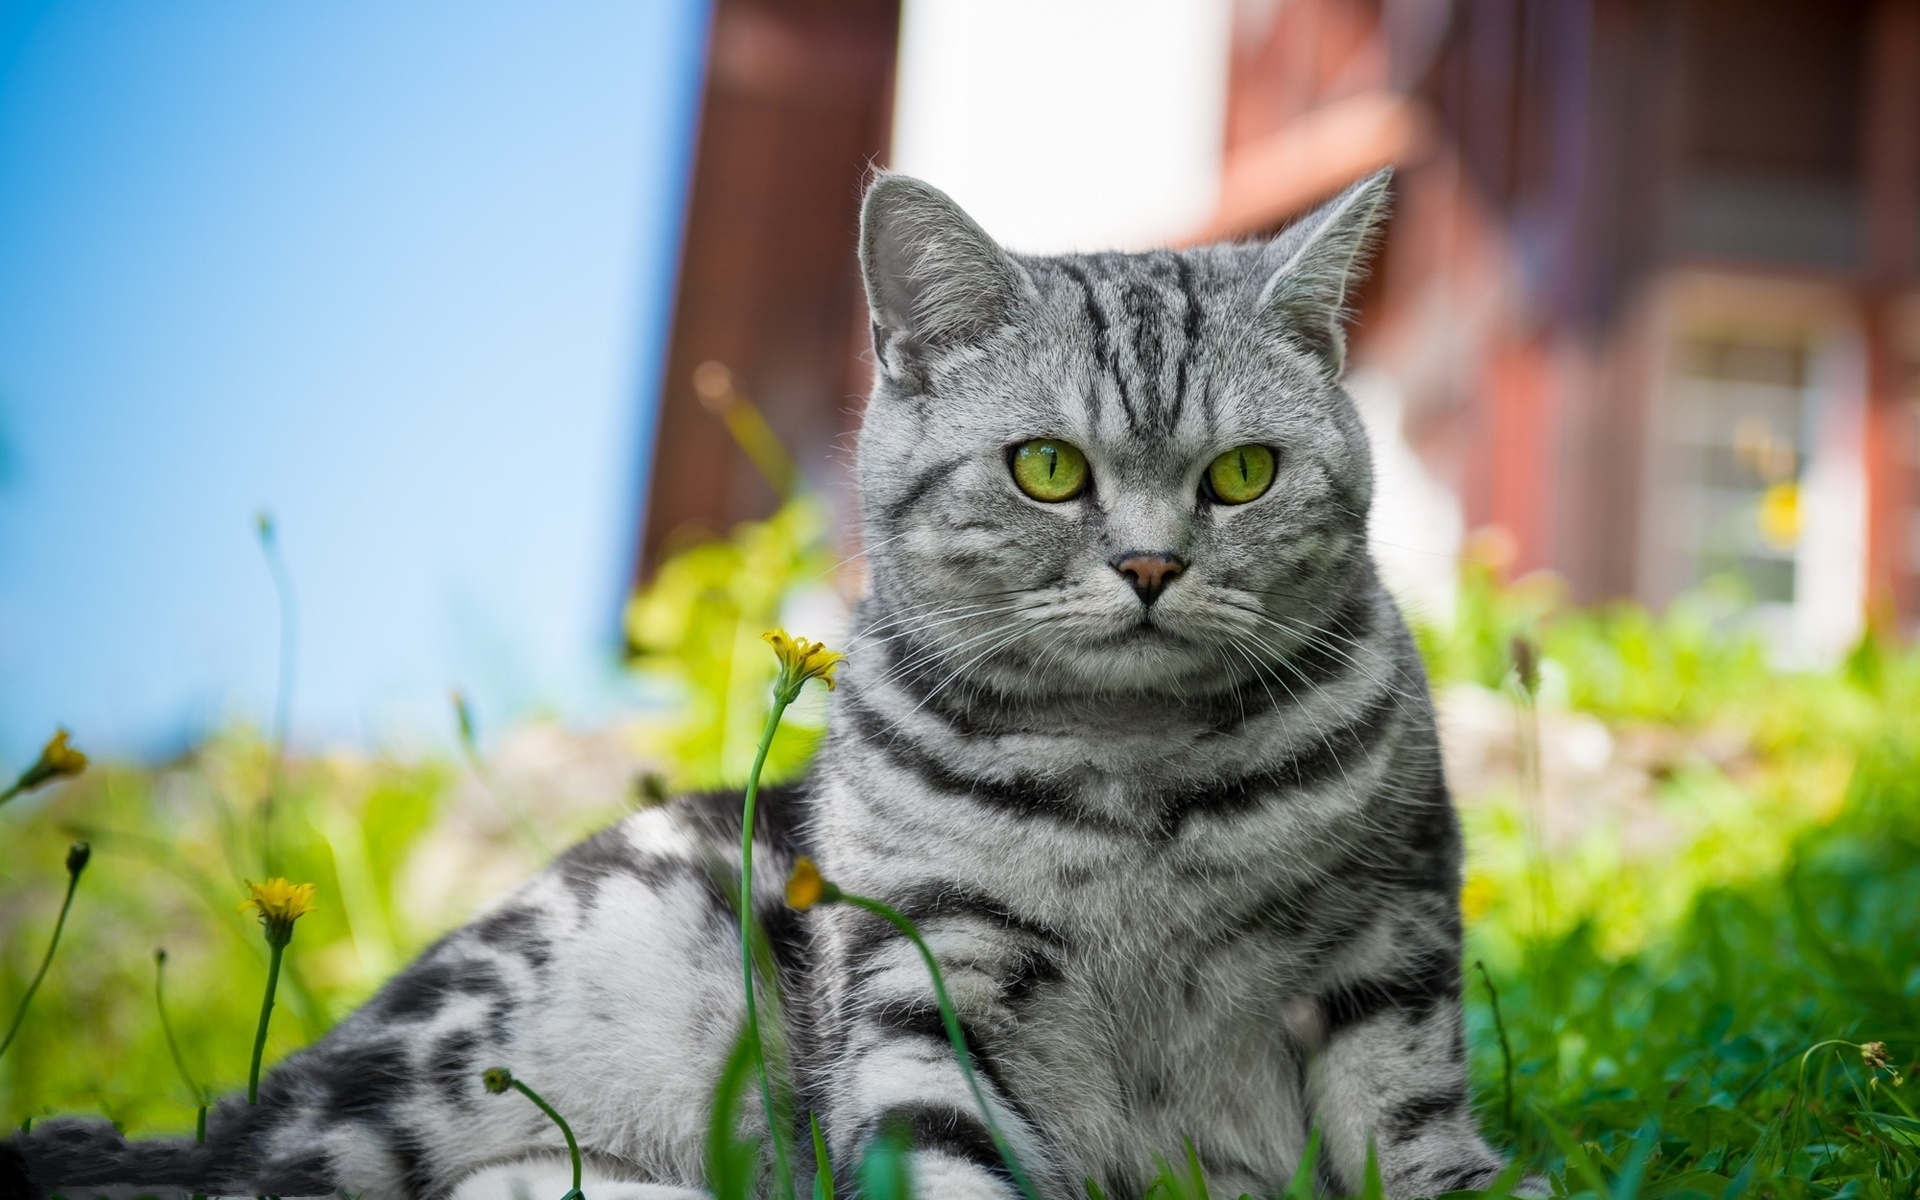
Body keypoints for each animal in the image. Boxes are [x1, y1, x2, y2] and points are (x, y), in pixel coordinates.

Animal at [0, 168, 1528, 1198]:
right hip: (448, 1055)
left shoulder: (1387, 966)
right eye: (1047, 469)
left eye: (1244, 474)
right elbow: (943, 1155)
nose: (1151, 565)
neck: (1131, 779)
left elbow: (1425, 1145)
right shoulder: (925, 989)